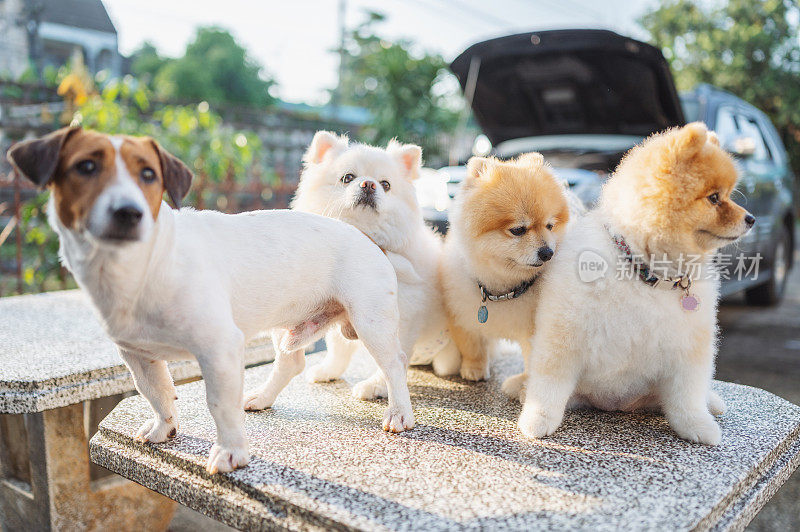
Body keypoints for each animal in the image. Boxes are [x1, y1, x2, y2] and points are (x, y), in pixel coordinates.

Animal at [6, 125, 416, 474]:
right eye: (85, 167)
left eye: (149, 175)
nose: (127, 211)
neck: (139, 268)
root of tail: (361, 233)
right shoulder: (137, 355)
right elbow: (155, 392)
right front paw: (163, 428)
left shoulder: (218, 349)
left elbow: (218, 404)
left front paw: (230, 452)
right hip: (283, 323)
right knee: (291, 363)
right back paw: (263, 397)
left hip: (371, 323)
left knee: (394, 366)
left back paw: (399, 413)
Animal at [292, 132, 456, 400]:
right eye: (348, 178)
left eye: (386, 184)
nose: (368, 184)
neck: (364, 237)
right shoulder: (340, 303)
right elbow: (338, 348)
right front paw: (329, 370)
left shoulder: (401, 316)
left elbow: (392, 360)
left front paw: (377, 387)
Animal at [438, 151, 576, 394]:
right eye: (518, 230)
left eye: (550, 226)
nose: (547, 252)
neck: (504, 288)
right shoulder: (461, 312)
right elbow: (471, 345)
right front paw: (474, 369)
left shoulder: (533, 329)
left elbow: (533, 358)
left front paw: (525, 383)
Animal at [520, 121, 756, 444]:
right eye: (714, 198)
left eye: (730, 194)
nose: (751, 218)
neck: (645, 273)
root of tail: (618, 405)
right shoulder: (565, 333)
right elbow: (549, 384)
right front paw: (538, 419)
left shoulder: (688, 346)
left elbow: (688, 395)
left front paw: (697, 426)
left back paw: (713, 402)